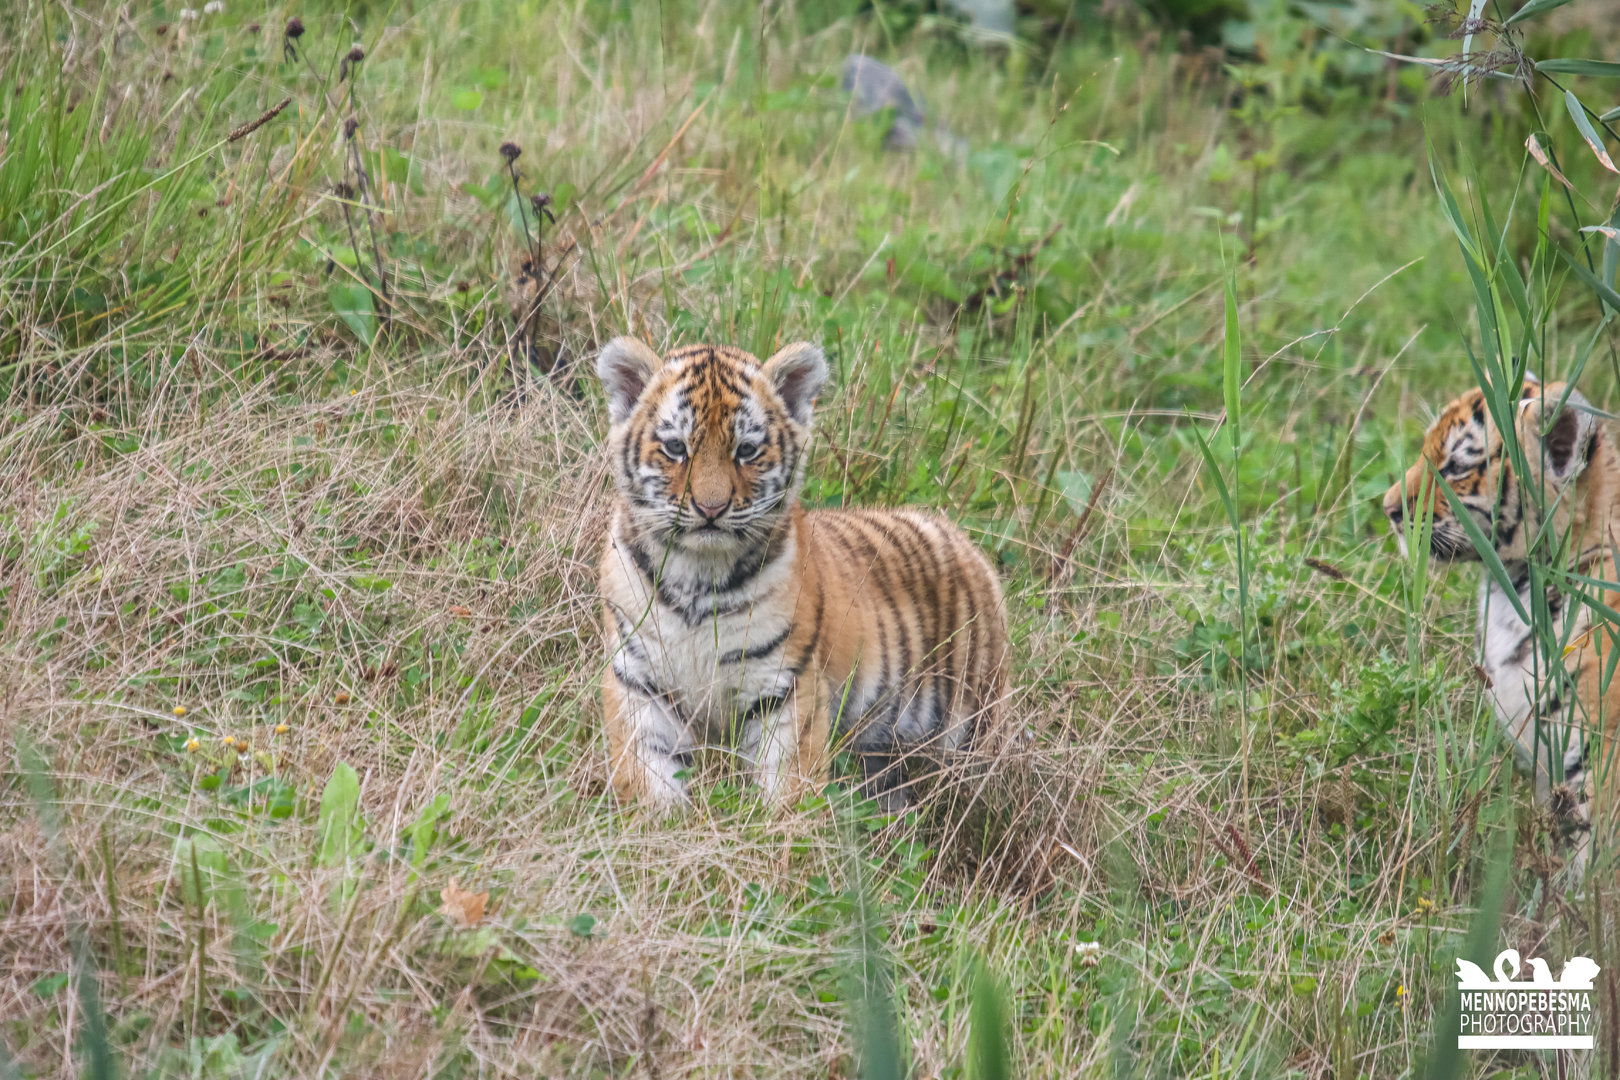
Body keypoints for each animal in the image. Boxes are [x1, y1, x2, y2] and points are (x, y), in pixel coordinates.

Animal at [592, 336, 1010, 810]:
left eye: (747, 451)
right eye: (677, 448)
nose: (711, 509)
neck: (696, 575)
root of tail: (964, 540)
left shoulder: (784, 687)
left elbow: (788, 786)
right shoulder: (639, 684)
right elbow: (649, 779)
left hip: (973, 729)